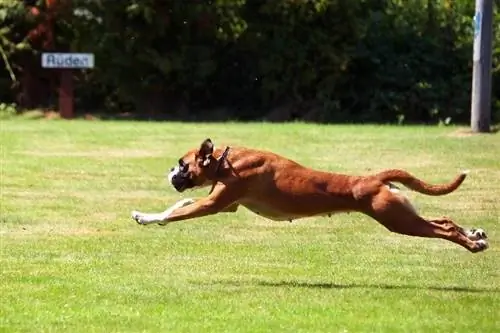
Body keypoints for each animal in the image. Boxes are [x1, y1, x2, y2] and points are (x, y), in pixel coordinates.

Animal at [130, 137, 488, 252]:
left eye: (182, 164)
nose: (169, 171)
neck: (227, 160)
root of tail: (374, 179)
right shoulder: (224, 203)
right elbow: (181, 202)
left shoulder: (211, 205)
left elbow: (174, 212)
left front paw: (145, 217)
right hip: (403, 213)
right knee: (444, 220)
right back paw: (476, 234)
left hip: (398, 221)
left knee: (442, 229)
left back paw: (472, 244)